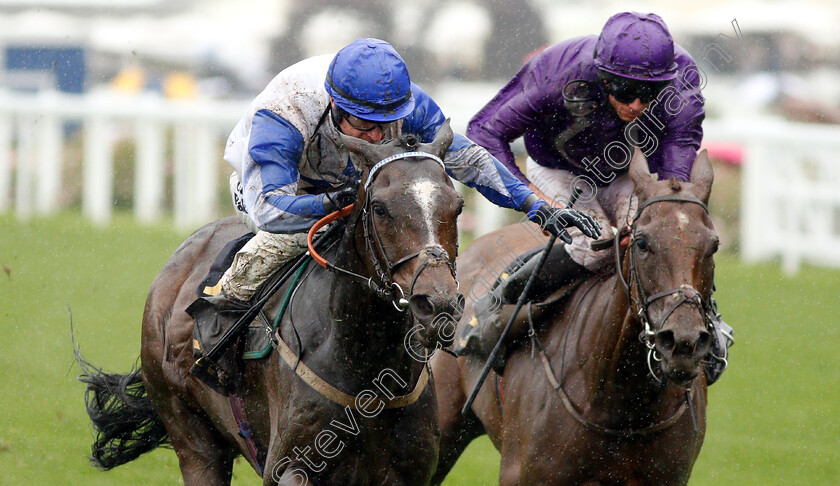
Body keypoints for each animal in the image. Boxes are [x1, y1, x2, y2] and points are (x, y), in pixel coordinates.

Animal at [79, 122, 466, 486]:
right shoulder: (292, 465)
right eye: (380, 208)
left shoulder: (410, 472)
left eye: (457, 206)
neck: (365, 362)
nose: (437, 303)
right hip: (191, 435)